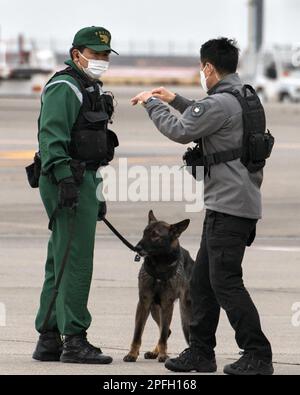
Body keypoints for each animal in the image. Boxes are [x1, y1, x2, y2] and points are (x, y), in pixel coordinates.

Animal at [123, 212, 193, 364]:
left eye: (155, 235)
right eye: (144, 232)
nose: (137, 248)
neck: (159, 267)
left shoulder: (167, 305)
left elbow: (163, 334)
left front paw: (163, 355)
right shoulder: (144, 303)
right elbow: (137, 334)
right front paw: (132, 354)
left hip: (185, 311)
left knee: (170, 331)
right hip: (155, 309)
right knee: (167, 331)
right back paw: (154, 352)